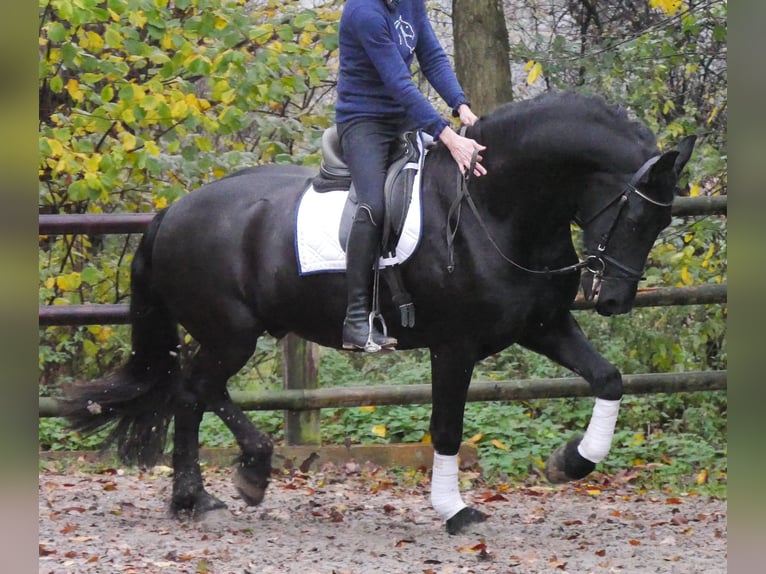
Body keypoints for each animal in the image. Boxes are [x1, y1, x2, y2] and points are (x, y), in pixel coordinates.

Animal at [64, 91, 696, 535]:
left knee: (198, 393)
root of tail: (172, 212)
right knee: (194, 393)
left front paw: (570, 463)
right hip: (231, 333)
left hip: (234, 334)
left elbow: (609, 378)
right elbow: (447, 427)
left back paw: (226, 484)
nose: (614, 301)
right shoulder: (454, 347)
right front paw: (455, 510)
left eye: (664, 219)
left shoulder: (542, 327)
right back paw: (207, 493)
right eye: (638, 215)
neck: (496, 207)